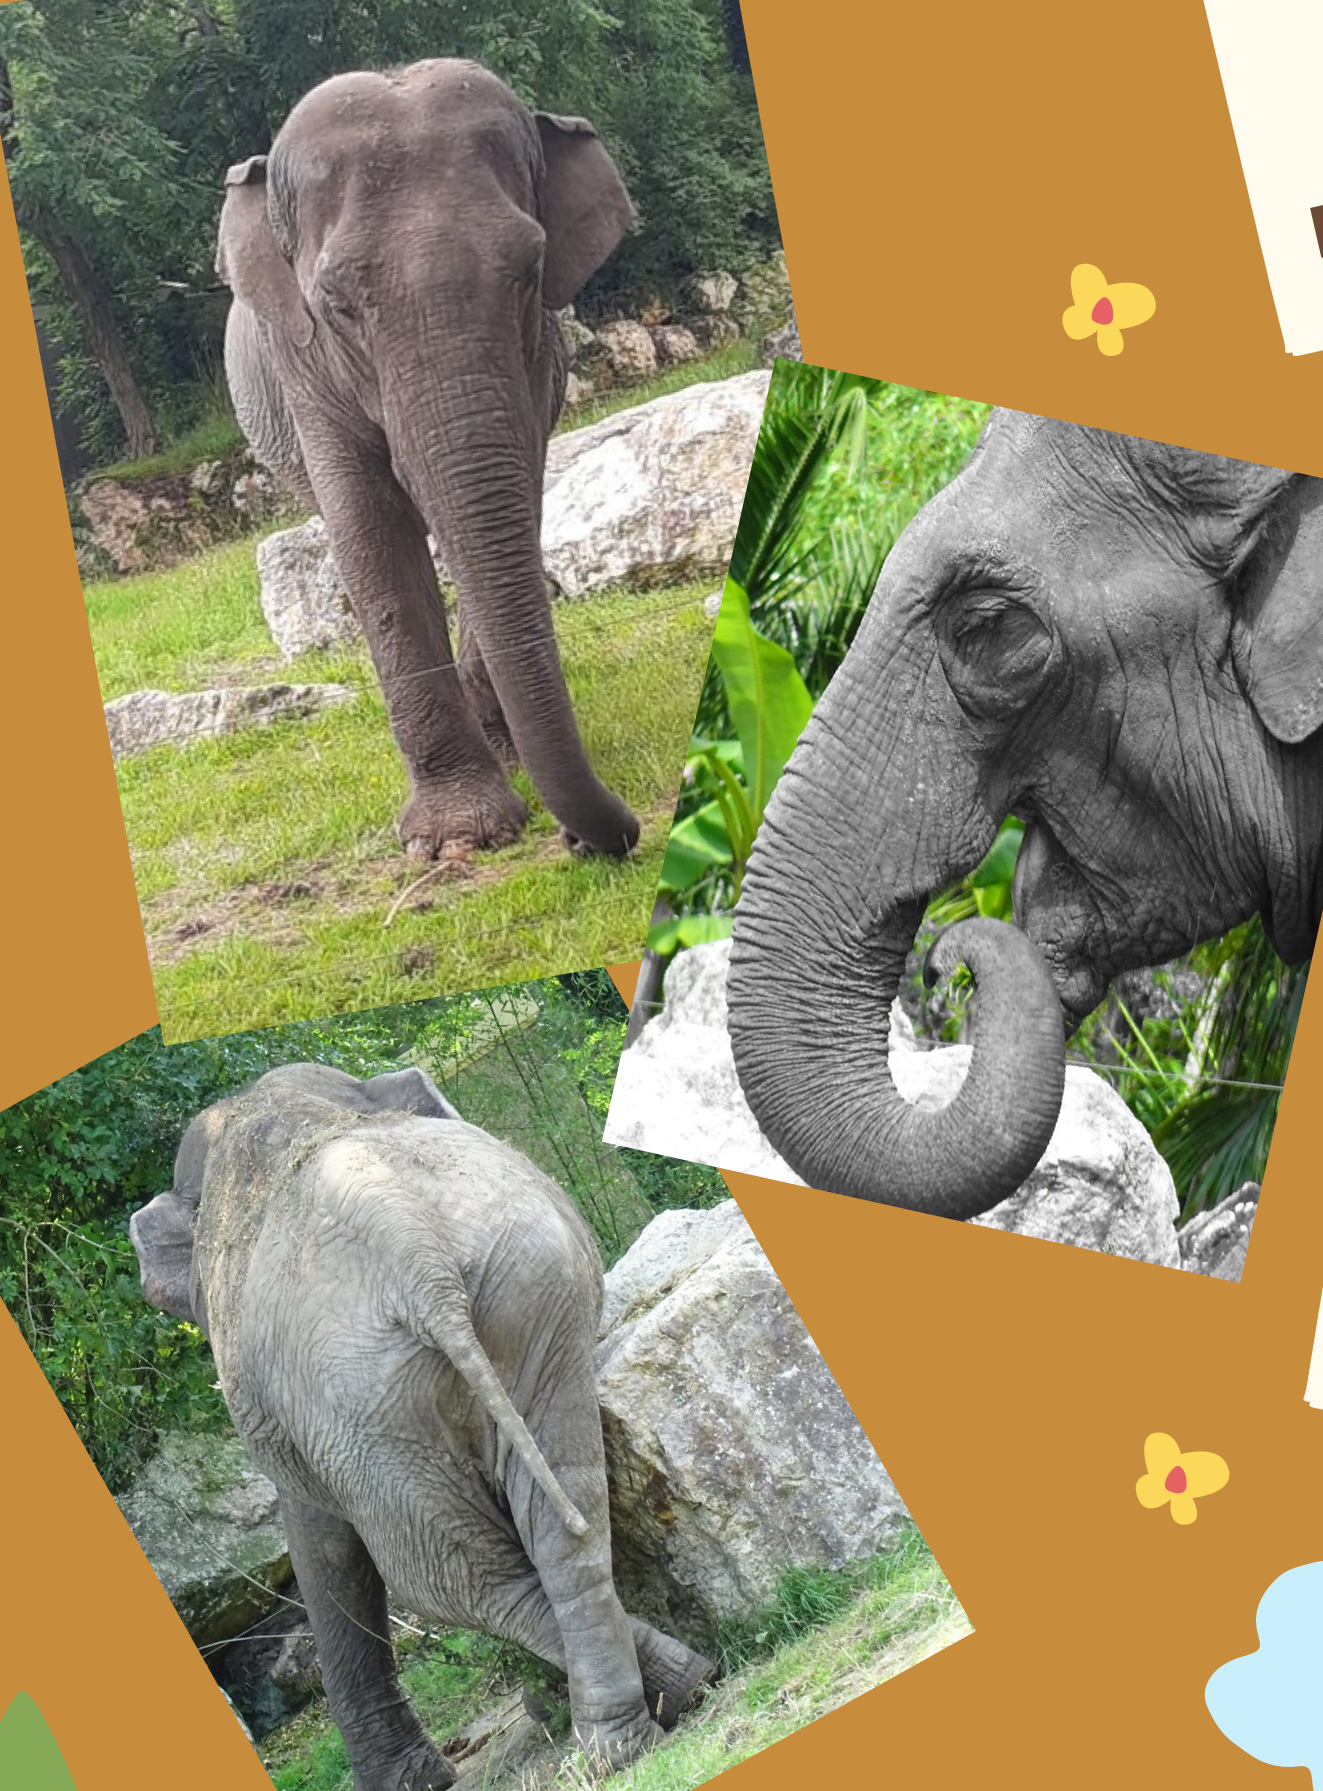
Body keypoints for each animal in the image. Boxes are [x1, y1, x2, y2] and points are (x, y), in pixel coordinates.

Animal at [129, 1063, 713, 1790]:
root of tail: (407, 1246)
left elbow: (321, 1543)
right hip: (516, 1299)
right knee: (560, 1515)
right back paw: (659, 1708)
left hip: (361, 1400)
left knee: (446, 1580)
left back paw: (626, 1728)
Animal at [216, 58, 640, 862]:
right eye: (337, 304)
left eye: (532, 270)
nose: (587, 839)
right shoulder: (303, 369)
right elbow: (368, 528)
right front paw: (455, 838)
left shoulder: (537, 359)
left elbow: (516, 485)